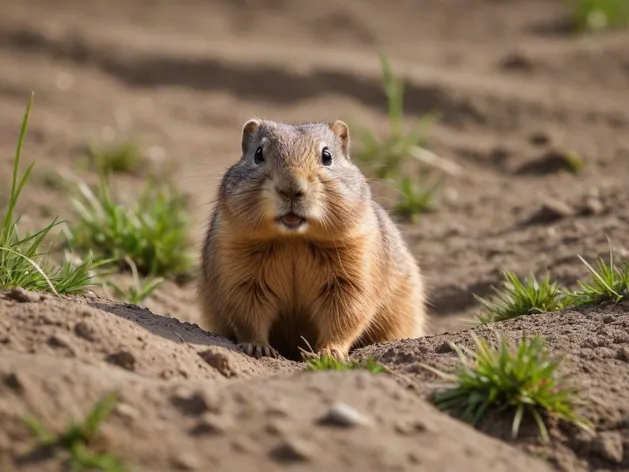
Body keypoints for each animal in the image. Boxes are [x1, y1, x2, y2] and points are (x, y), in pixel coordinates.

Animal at [200, 119, 426, 362]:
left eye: (327, 156)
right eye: (258, 154)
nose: (291, 188)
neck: (294, 240)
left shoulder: (353, 273)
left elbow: (345, 315)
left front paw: (328, 353)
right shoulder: (239, 273)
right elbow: (247, 313)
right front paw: (258, 348)